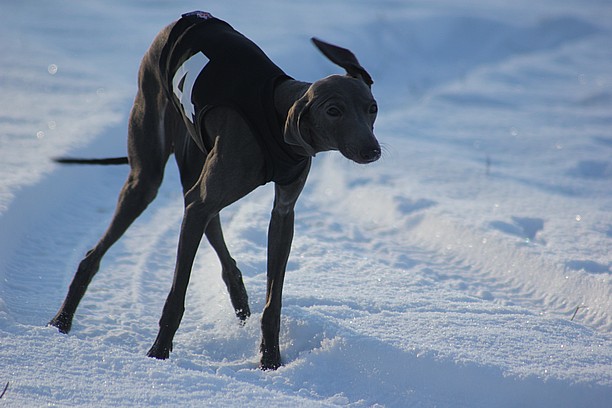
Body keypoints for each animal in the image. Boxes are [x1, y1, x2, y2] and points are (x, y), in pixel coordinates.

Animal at [51, 11, 378, 370]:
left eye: (372, 108)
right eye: (334, 111)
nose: (372, 151)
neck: (275, 117)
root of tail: (190, 18)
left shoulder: (282, 213)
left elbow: (273, 300)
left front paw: (271, 360)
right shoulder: (200, 203)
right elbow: (176, 296)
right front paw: (158, 354)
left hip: (196, 159)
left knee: (212, 225)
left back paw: (240, 305)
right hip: (146, 176)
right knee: (96, 253)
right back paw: (62, 320)